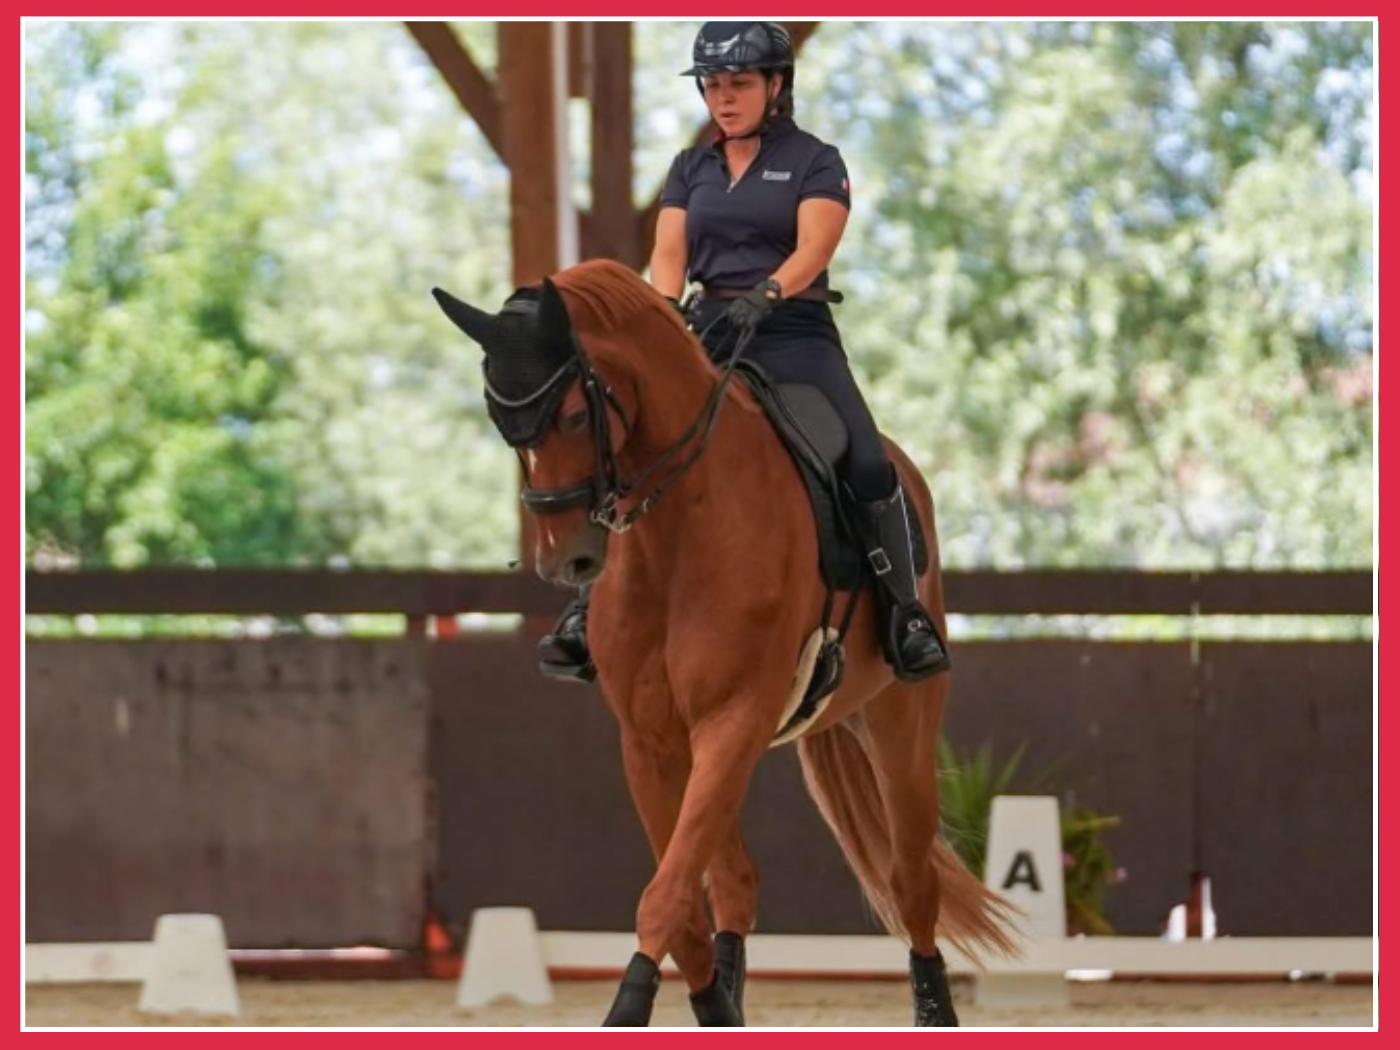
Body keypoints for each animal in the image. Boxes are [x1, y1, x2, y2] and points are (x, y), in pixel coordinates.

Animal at [433, 258, 1017, 1027]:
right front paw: (711, 1002)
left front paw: (628, 1009)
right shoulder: (653, 742)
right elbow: (682, 898)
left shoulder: (732, 720)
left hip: (898, 719)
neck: (679, 531)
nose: (566, 561)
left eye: (573, 416)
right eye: (504, 427)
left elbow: (668, 895)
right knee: (739, 878)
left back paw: (934, 1008)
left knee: (911, 881)